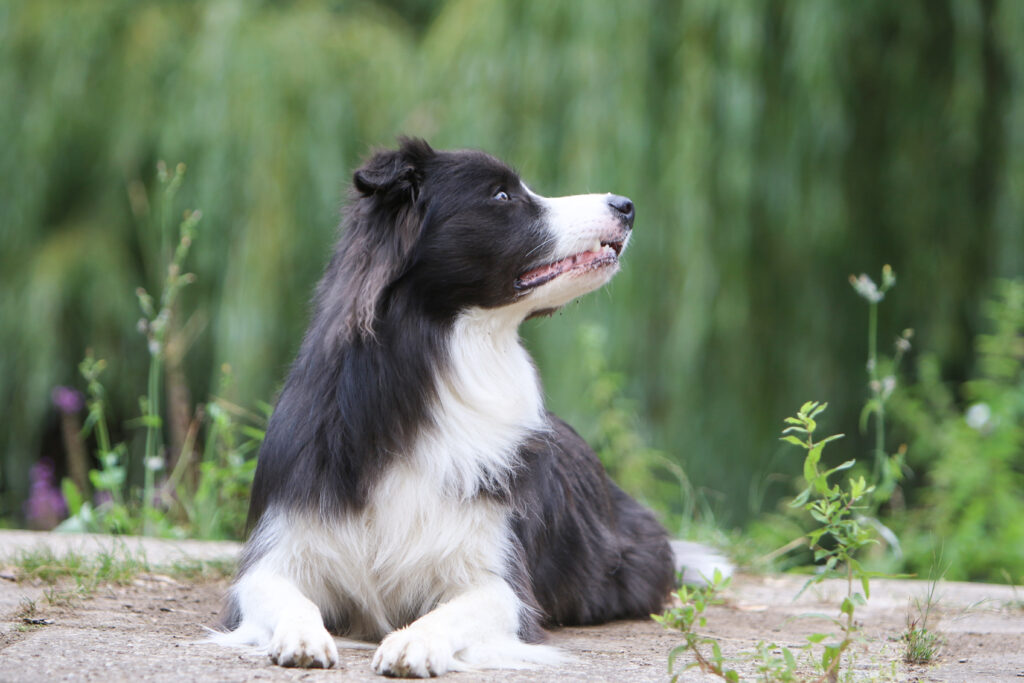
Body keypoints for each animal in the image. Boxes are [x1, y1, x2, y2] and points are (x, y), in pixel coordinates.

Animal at [214, 138, 729, 677]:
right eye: (502, 195)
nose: (626, 205)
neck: (437, 366)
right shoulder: (281, 545)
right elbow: (281, 594)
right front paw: (303, 636)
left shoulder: (502, 579)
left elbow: (457, 610)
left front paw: (413, 643)